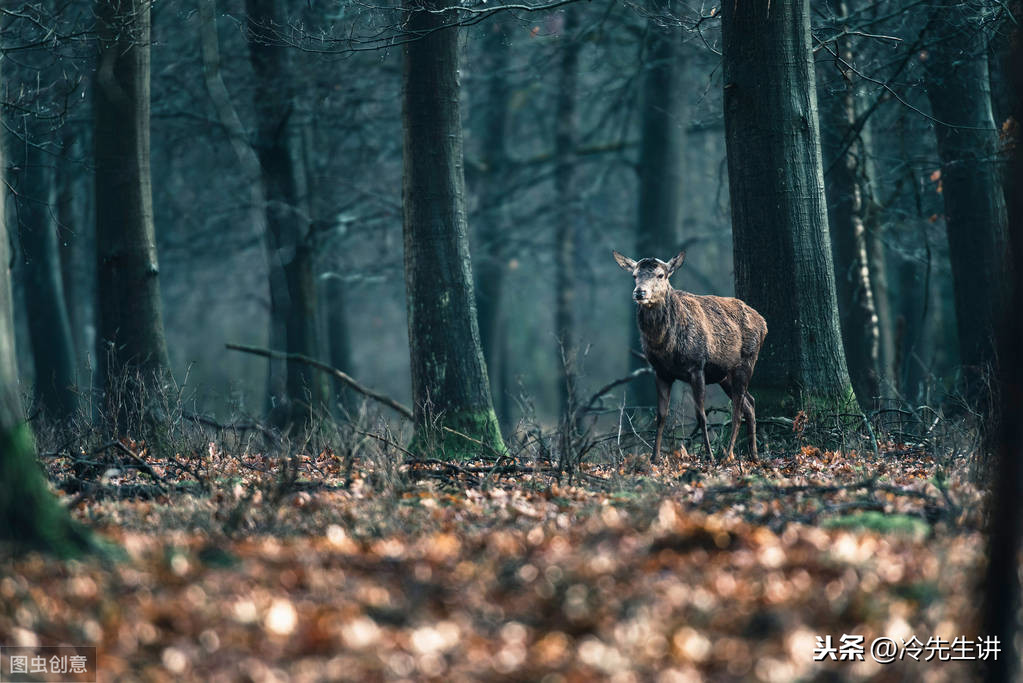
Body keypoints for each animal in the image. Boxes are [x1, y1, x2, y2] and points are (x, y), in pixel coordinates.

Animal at [605, 250, 769, 464]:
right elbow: (661, 415)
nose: (640, 292)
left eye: (661, 275)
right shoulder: (661, 372)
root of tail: (764, 323)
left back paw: (727, 455)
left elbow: (701, 415)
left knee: (737, 409)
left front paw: (709, 456)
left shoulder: (696, 366)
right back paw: (754, 455)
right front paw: (654, 458)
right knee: (750, 403)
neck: (667, 347)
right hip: (724, 375)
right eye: (634, 275)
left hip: (747, 361)